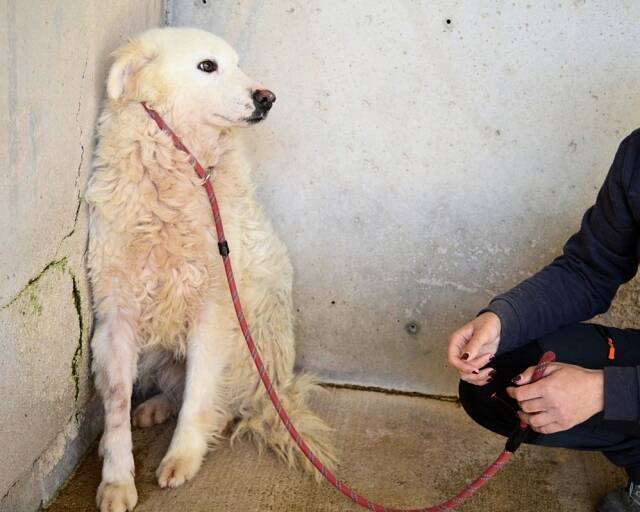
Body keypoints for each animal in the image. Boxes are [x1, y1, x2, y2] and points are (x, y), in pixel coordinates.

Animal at [86, 27, 337, 512]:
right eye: (207, 66)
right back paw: (154, 406)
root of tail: (278, 388)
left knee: (224, 405)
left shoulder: (215, 312)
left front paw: (182, 457)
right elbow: (116, 405)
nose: (268, 97)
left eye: (237, 64)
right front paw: (116, 480)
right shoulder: (117, 316)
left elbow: (199, 395)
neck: (180, 165)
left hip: (249, 343)